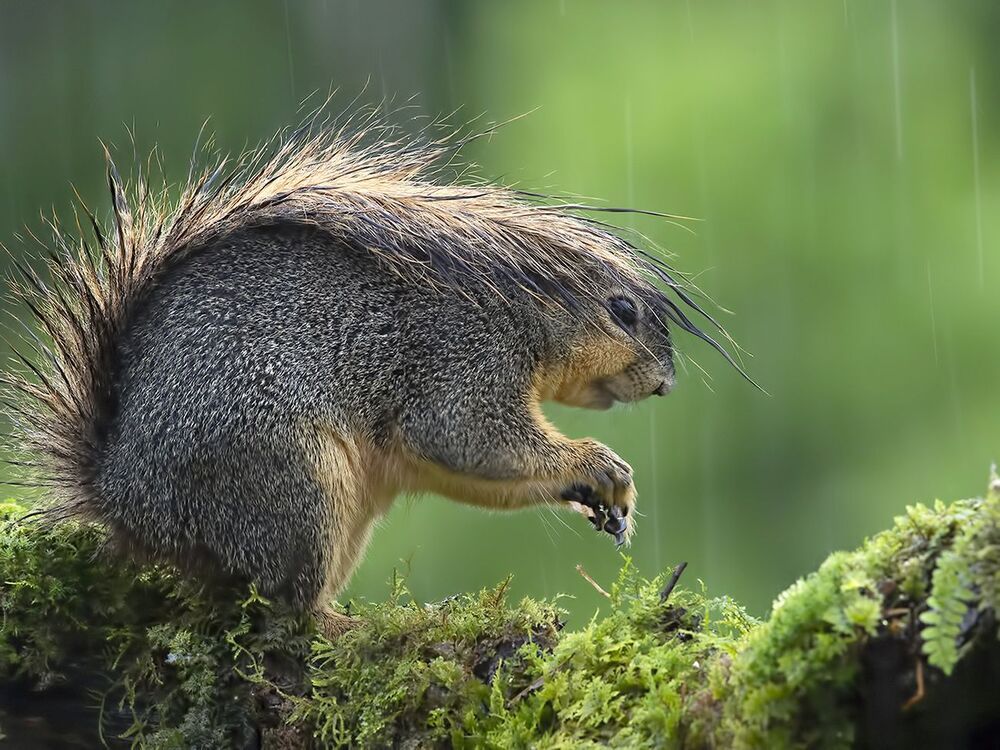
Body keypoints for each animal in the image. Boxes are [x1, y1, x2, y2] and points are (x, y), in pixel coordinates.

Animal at [3, 114, 747, 635]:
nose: (665, 383)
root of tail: (123, 495)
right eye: (621, 310)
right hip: (289, 484)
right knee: (284, 604)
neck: (517, 316)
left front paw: (605, 502)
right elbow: (473, 440)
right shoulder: (457, 366)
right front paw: (599, 464)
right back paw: (348, 624)